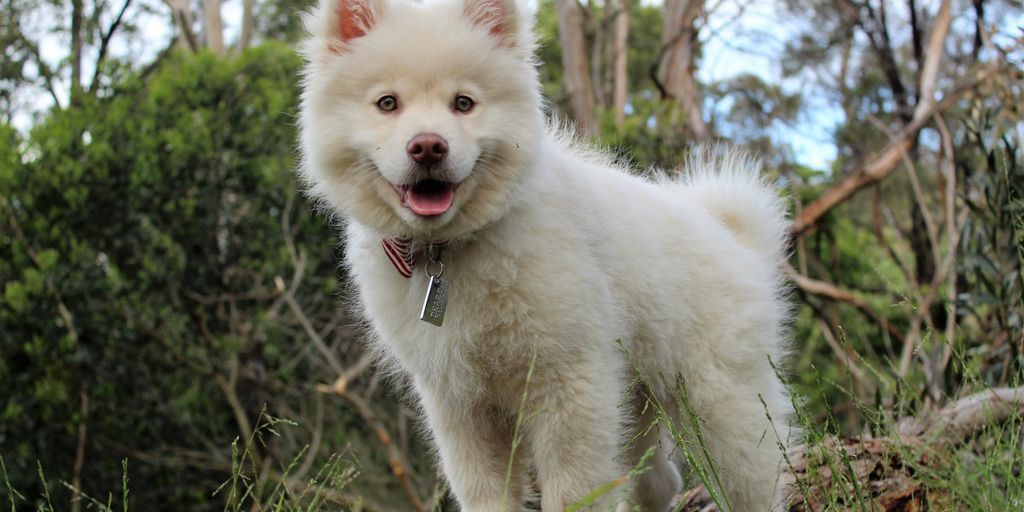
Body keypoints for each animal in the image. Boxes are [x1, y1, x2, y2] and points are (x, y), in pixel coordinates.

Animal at [296, 0, 790, 509]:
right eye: (387, 103)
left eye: (464, 103)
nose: (428, 146)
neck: (451, 250)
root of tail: (736, 240)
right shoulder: (461, 405)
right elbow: (486, 494)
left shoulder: (570, 385)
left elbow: (574, 491)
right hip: (637, 399)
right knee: (660, 481)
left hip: (722, 405)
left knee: (753, 479)